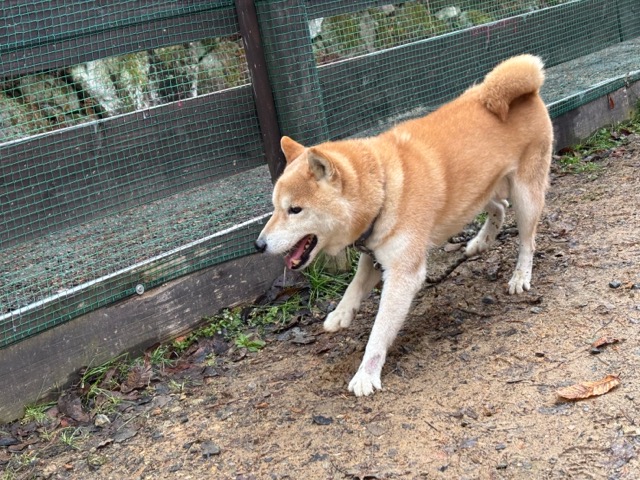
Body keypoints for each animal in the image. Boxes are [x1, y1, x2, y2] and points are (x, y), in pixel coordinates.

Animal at [255, 54, 553, 396]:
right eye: (274, 207)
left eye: (295, 210)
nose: (259, 245)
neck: (384, 189)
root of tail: (518, 91)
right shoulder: (373, 255)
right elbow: (354, 287)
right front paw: (341, 314)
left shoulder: (402, 275)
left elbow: (379, 330)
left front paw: (366, 374)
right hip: (476, 194)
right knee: (498, 208)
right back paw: (482, 241)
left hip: (525, 196)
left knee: (528, 241)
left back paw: (520, 275)